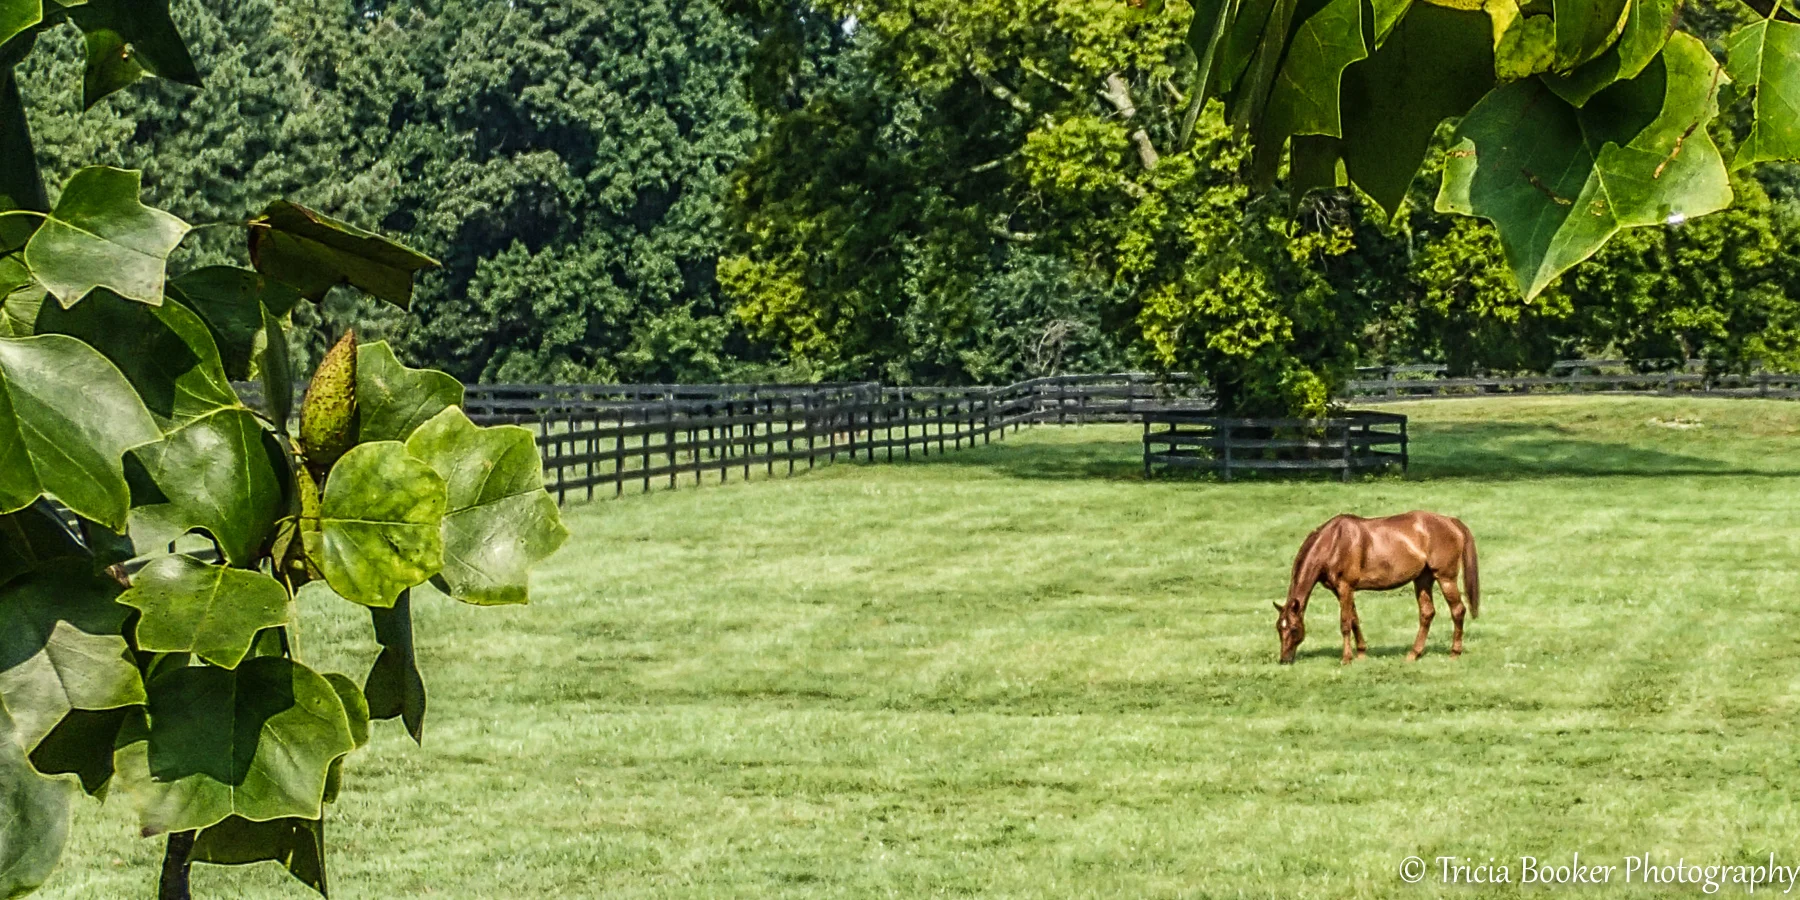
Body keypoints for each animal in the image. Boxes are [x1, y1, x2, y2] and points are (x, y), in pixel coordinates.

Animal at [1274, 511, 1480, 665]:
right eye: (1278, 628)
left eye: (1294, 629)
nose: (1284, 660)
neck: (1333, 542)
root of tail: (1451, 521)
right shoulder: (1341, 590)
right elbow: (1354, 619)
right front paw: (1361, 653)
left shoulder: (1345, 587)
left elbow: (1345, 623)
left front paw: (1346, 659)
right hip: (1422, 579)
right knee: (1427, 613)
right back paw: (1413, 654)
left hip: (1446, 578)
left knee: (1458, 610)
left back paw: (1454, 653)